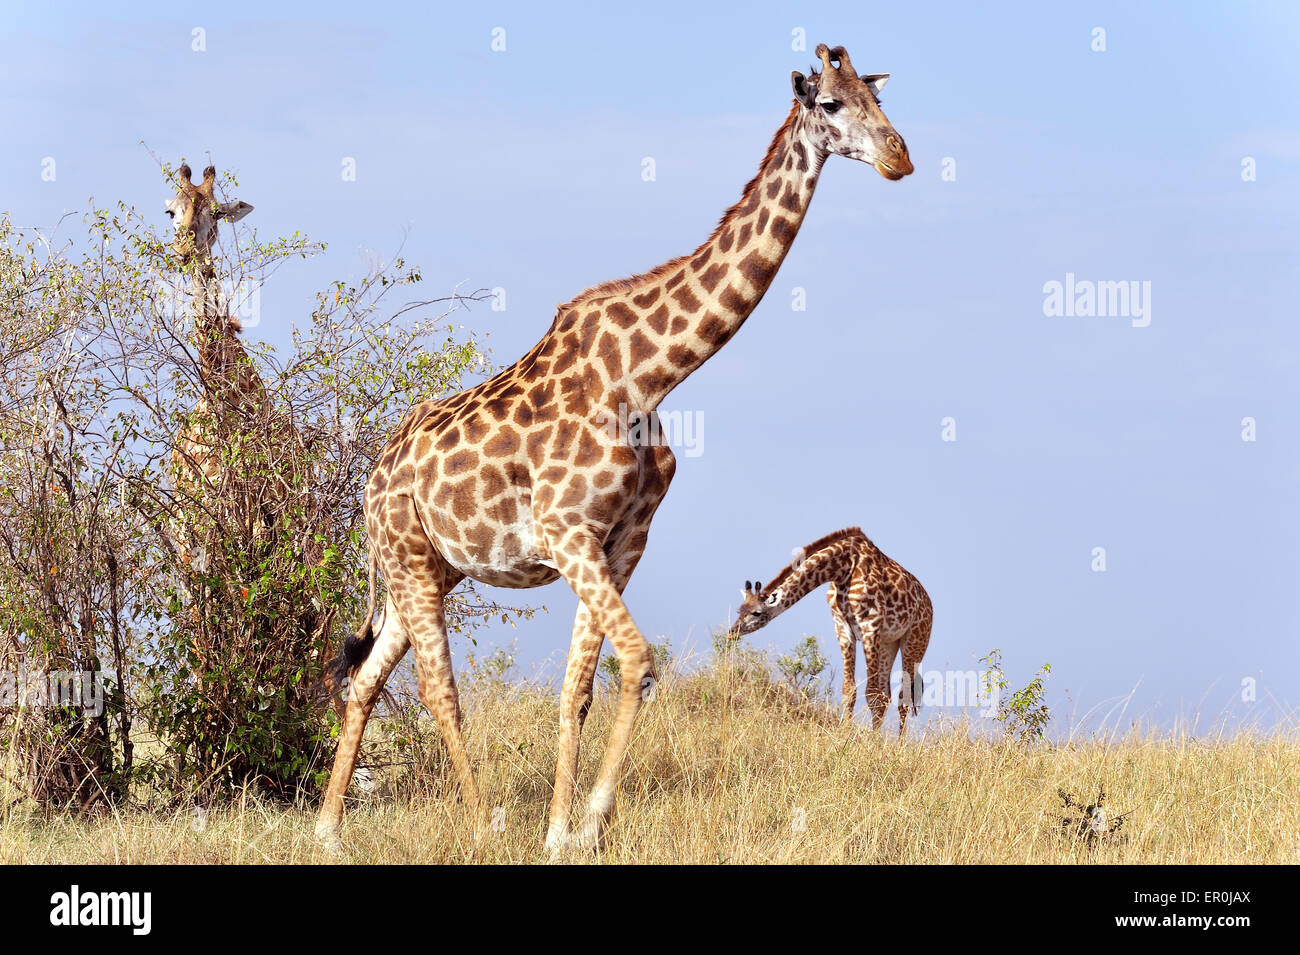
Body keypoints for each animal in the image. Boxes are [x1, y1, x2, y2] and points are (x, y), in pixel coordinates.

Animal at [733, 530, 935, 732]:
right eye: (739, 611)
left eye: (756, 613)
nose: (733, 632)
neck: (843, 568)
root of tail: (929, 603)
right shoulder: (843, 627)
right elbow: (850, 689)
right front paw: (846, 733)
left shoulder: (870, 627)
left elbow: (872, 693)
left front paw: (865, 739)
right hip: (889, 643)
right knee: (888, 695)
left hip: (915, 642)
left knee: (904, 696)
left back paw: (894, 740)